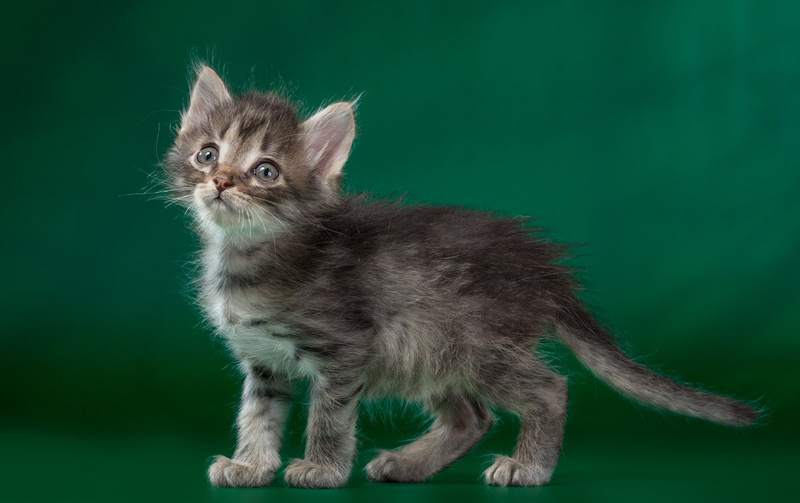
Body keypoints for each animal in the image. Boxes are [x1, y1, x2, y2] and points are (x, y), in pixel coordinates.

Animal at [163, 64, 759, 489]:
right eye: (208, 153)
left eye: (266, 171)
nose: (220, 181)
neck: (248, 257)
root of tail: (546, 272)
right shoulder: (264, 361)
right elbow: (258, 415)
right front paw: (250, 466)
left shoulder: (345, 348)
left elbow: (329, 417)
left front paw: (323, 469)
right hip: (430, 352)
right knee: (471, 417)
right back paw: (411, 465)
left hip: (472, 345)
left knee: (551, 389)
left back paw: (528, 467)